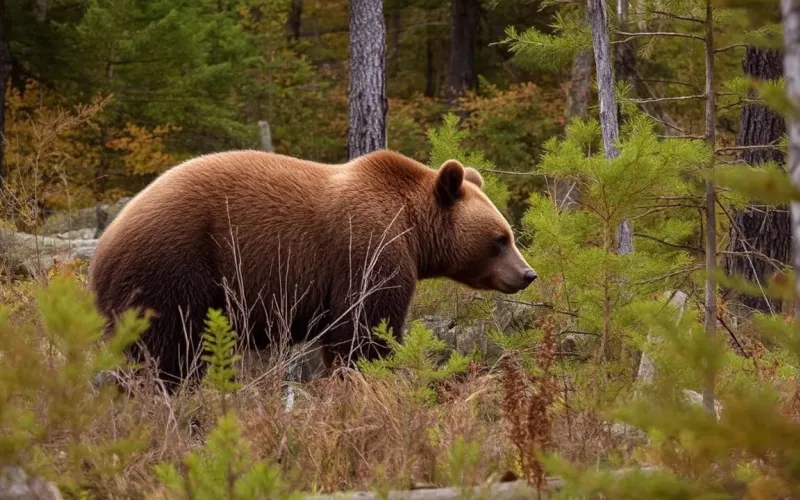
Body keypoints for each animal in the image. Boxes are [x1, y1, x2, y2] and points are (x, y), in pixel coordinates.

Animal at [88, 149, 537, 388]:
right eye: (500, 238)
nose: (528, 274)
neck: (411, 227)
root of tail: (101, 248)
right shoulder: (367, 252)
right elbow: (363, 331)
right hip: (172, 269)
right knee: (166, 353)